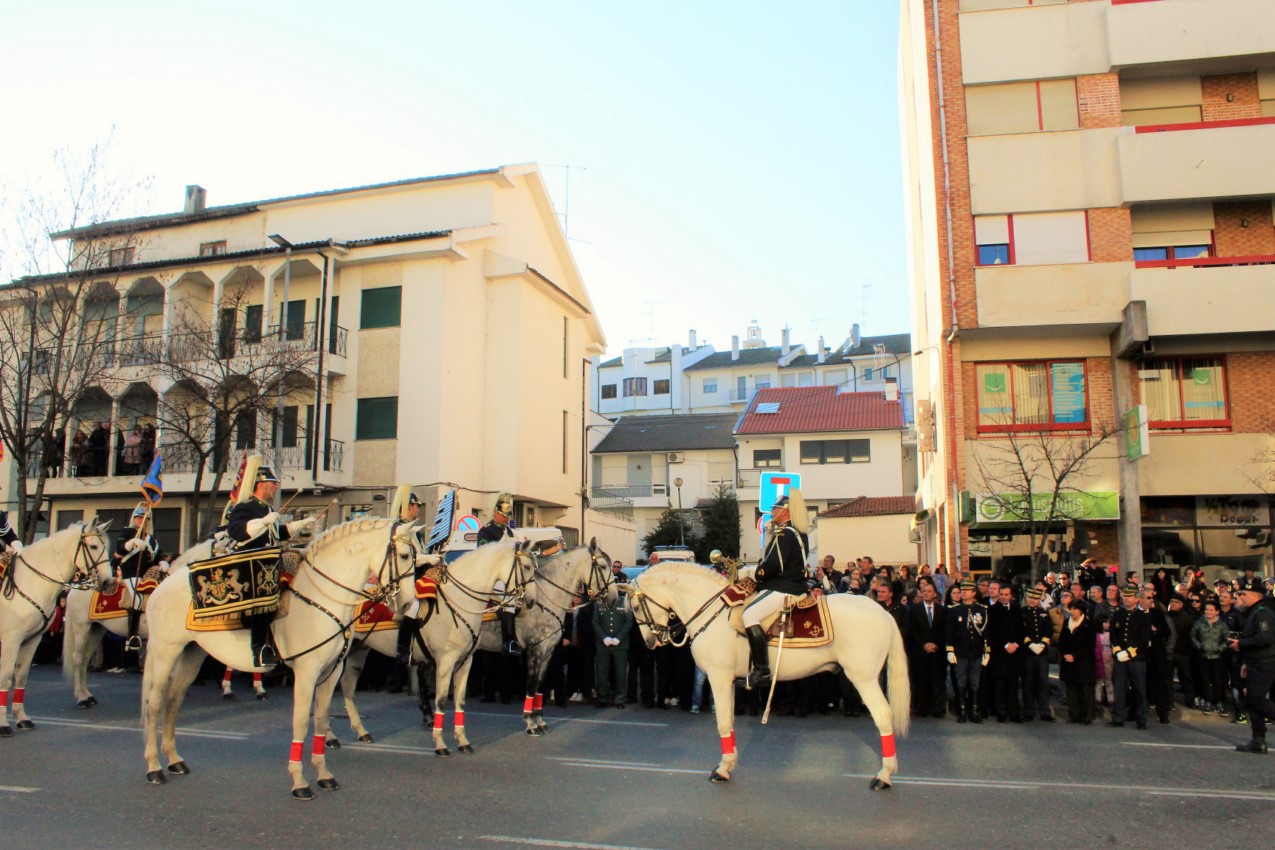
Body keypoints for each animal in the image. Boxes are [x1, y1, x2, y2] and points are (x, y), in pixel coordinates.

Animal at [0, 522, 113, 734]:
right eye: (93, 546)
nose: (109, 582)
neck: (30, 582)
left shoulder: (32, 640)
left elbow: (21, 676)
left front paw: (22, 718)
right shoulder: (11, 640)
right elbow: (5, 677)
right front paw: (3, 724)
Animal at [140, 522, 418, 800]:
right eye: (405, 555)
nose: (407, 604)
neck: (323, 598)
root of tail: (164, 584)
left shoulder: (331, 671)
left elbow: (321, 718)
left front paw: (324, 775)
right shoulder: (307, 672)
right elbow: (300, 721)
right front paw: (299, 781)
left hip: (192, 653)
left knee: (174, 700)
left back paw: (174, 760)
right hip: (165, 653)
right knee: (155, 704)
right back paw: (154, 767)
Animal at [624, 565, 907, 790]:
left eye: (636, 607)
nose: (650, 642)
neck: (713, 612)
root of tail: (883, 612)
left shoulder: (718, 676)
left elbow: (722, 723)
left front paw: (722, 770)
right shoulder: (727, 680)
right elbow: (729, 723)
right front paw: (728, 764)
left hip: (864, 678)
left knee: (884, 716)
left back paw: (883, 776)